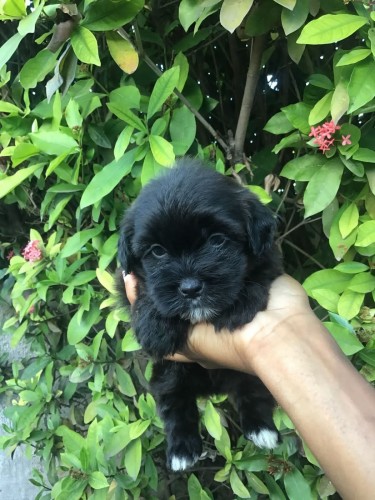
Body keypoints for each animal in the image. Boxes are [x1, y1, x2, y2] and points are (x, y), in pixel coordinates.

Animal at [117, 158, 282, 470]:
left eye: (217, 241)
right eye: (157, 252)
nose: (190, 288)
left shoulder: (270, 261)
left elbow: (258, 273)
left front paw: (241, 304)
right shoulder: (126, 282)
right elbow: (146, 294)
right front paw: (155, 326)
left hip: (250, 372)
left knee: (252, 391)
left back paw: (262, 429)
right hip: (170, 372)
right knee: (175, 401)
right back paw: (182, 451)